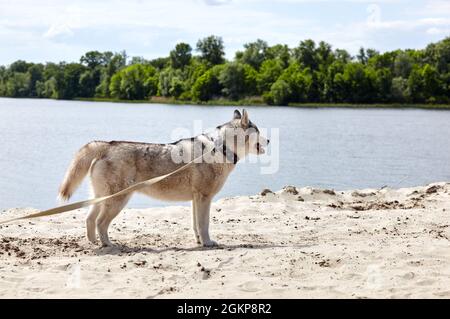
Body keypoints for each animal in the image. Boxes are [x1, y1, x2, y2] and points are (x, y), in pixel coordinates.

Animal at [59, 110, 270, 248]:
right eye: (259, 131)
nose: (269, 140)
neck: (221, 148)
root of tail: (107, 144)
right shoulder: (204, 198)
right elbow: (204, 225)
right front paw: (208, 243)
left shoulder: (196, 200)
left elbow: (196, 225)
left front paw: (199, 242)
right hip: (117, 201)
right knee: (100, 223)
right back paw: (109, 245)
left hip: (102, 198)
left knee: (89, 219)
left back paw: (94, 243)